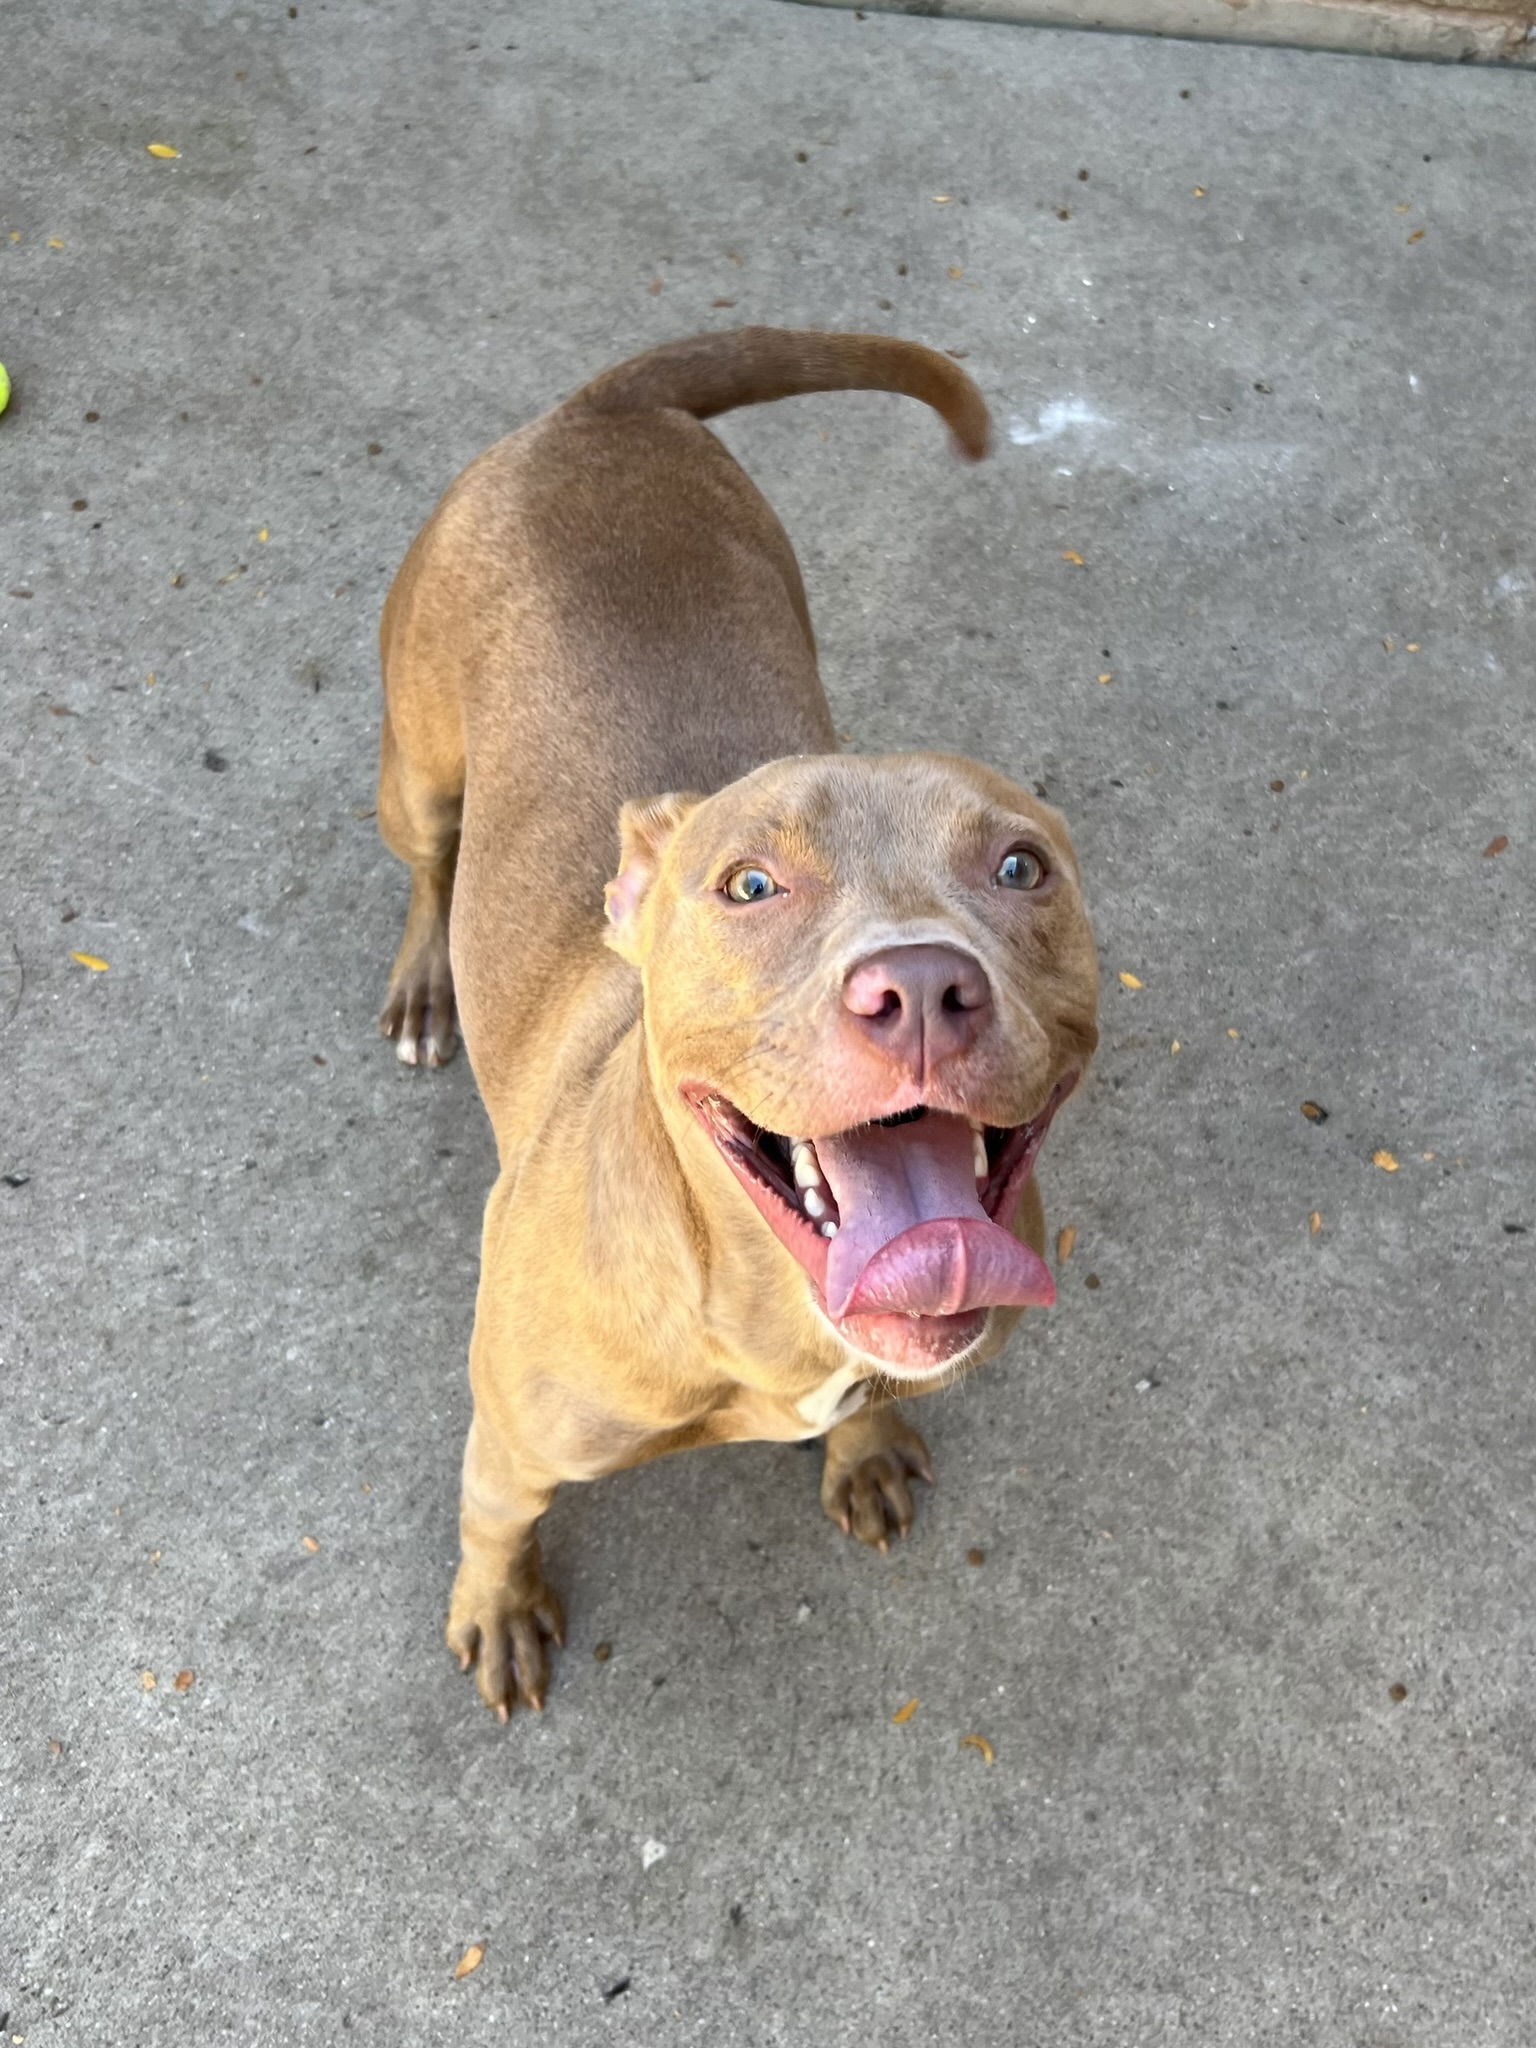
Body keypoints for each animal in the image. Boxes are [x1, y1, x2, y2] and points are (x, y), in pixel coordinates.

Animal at [378, 327, 1097, 1720]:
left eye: (1020, 867)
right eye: (749, 885)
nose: (919, 986)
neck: (768, 1312)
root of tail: (601, 407)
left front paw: (860, 1445)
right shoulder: (510, 1430)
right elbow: (494, 1514)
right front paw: (497, 1605)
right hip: (418, 763)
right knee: (433, 859)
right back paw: (427, 980)